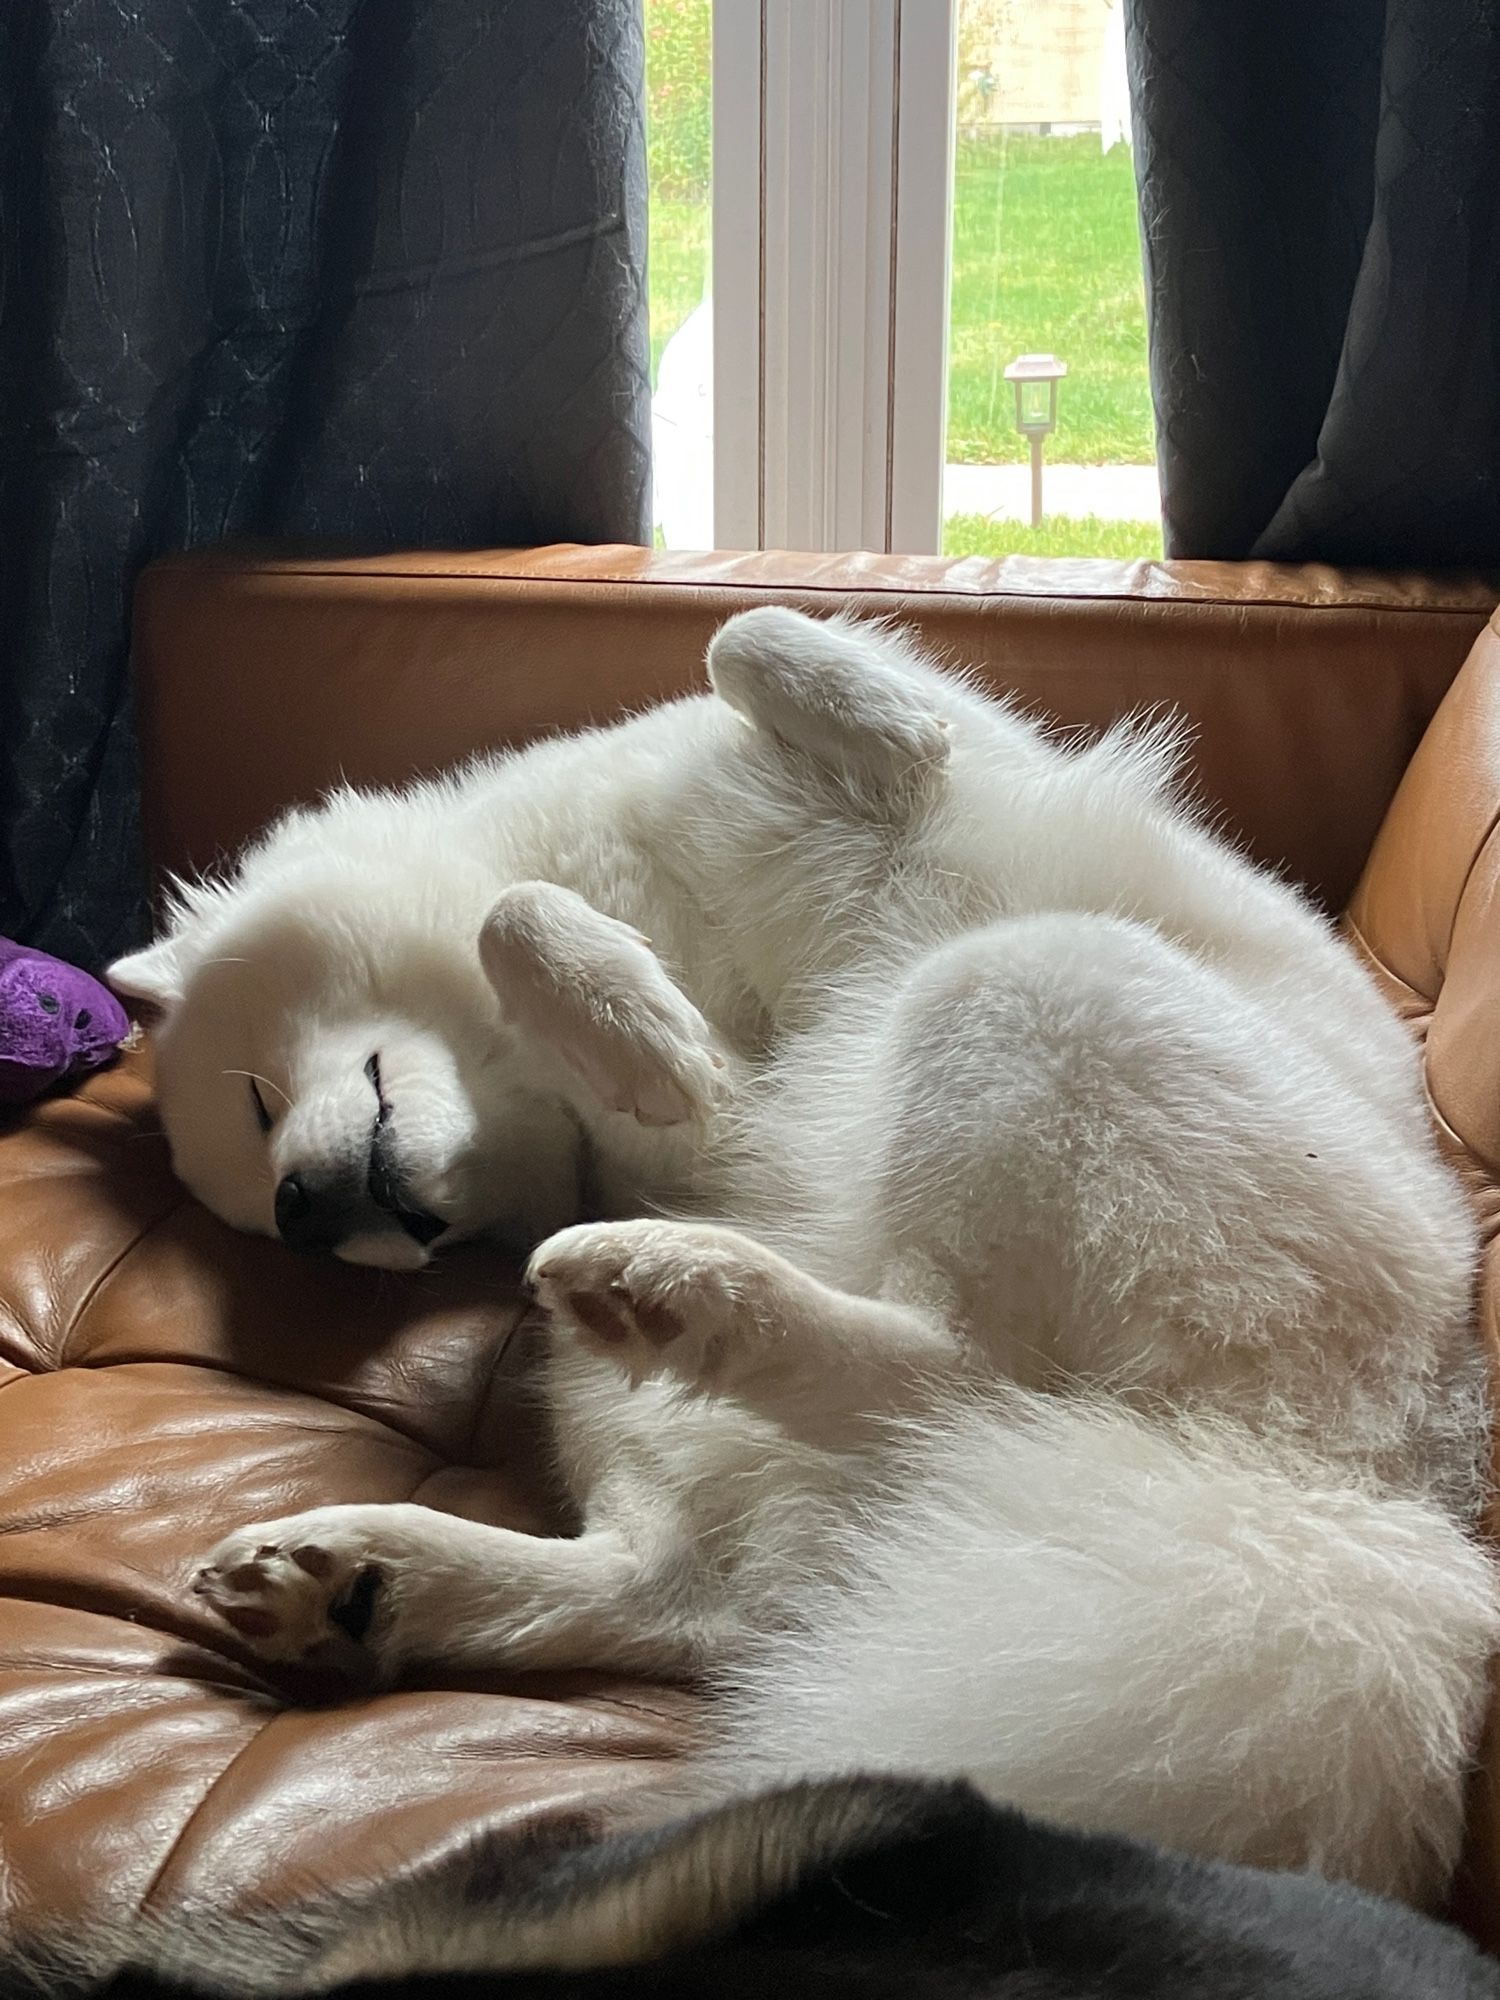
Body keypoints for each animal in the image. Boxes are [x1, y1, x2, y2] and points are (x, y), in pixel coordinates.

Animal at [114, 604, 1500, 1904]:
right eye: (270, 1219)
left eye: (253, 1101)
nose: (303, 1211)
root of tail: (1378, 1478)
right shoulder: (685, 1142)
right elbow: (629, 1017)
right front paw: (640, 1024)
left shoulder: (906, 766)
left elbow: (744, 647)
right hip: (630, 1333)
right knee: (746, 1532)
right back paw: (389, 1549)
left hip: (1026, 981)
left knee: (947, 1394)